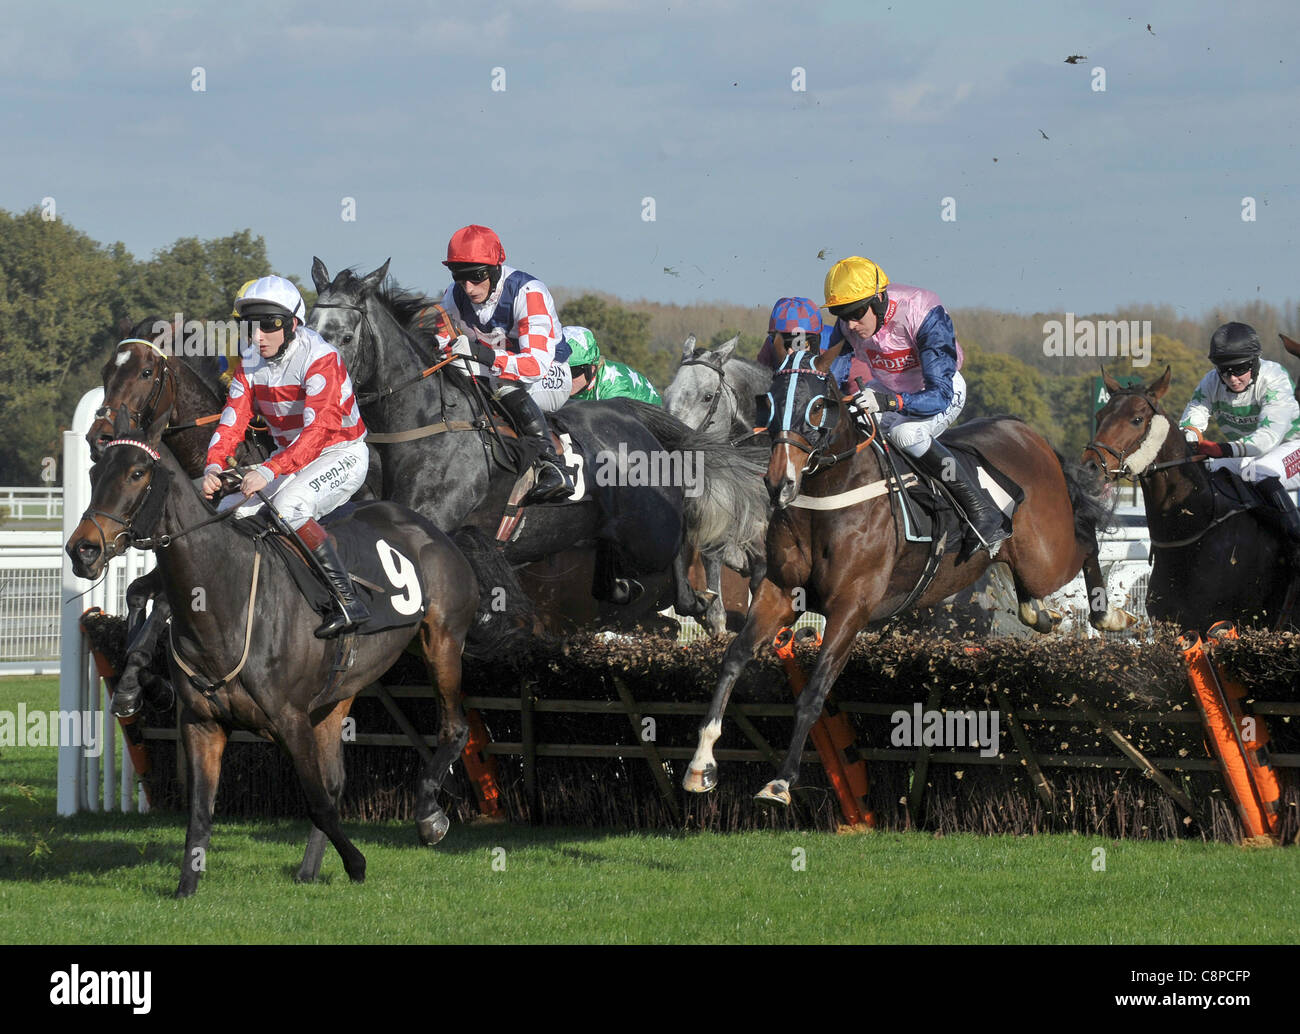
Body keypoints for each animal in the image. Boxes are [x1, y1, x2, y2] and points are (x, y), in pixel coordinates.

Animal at [67, 410, 483, 900]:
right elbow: (201, 810)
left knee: (454, 728)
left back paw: (428, 815)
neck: (222, 597)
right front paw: (186, 887)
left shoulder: (289, 719)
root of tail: (433, 529)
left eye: (137, 473)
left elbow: (318, 802)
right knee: (337, 777)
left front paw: (357, 862)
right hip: (338, 691)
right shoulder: (203, 723)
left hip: (442, 642)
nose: (83, 549)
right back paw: (309, 868)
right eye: (94, 472)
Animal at [681, 345, 1128, 801]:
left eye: (817, 406)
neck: (829, 495)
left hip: (1047, 555)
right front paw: (702, 764)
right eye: (768, 403)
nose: (778, 483)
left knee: (1087, 540)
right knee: (1030, 585)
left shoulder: (852, 606)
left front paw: (782, 780)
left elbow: (814, 692)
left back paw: (1107, 614)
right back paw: (1040, 612)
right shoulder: (780, 591)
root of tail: (1027, 432)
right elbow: (733, 660)